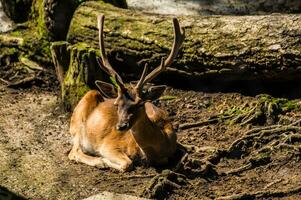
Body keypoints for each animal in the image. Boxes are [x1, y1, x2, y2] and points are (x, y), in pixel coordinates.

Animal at [68, 14, 184, 172]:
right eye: (117, 104)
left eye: (140, 104)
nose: (121, 126)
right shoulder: (109, 144)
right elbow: (127, 163)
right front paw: (104, 160)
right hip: (79, 122)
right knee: (73, 151)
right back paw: (98, 161)